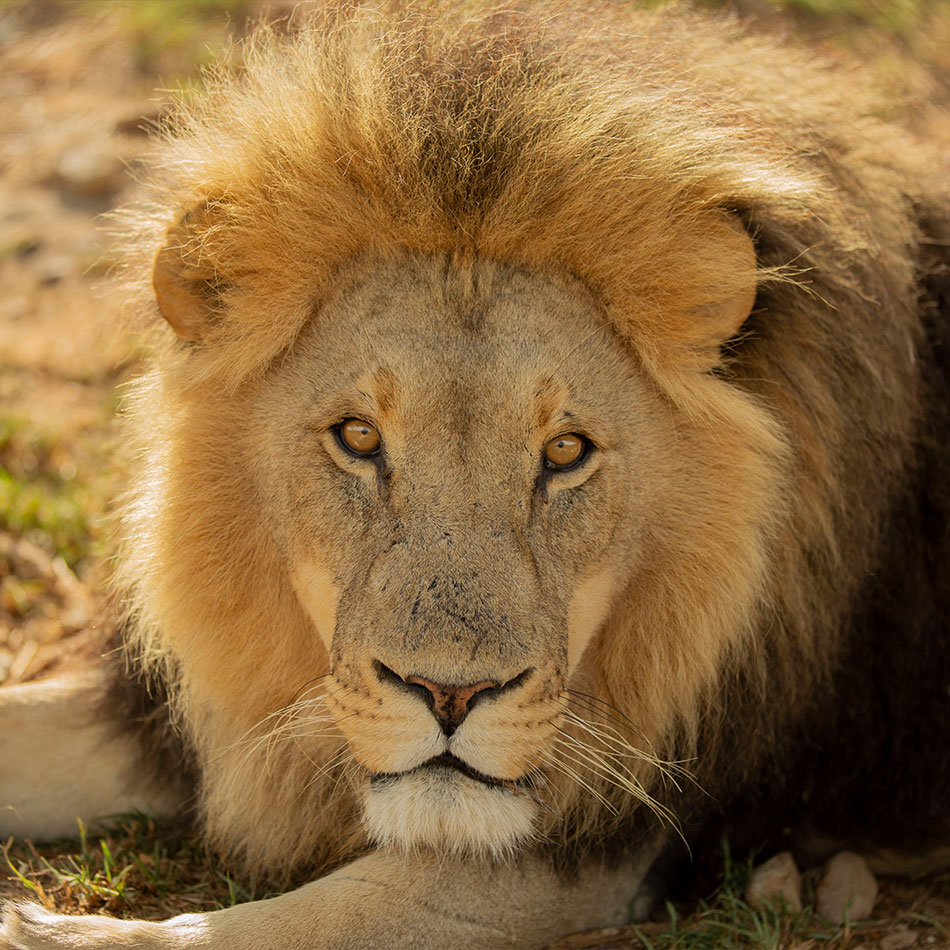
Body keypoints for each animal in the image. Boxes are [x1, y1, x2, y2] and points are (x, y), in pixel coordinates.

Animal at [1, 2, 949, 948]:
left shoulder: (599, 847)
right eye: (357, 437)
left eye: (565, 452)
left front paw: (46, 931)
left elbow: (291, 923)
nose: (450, 696)